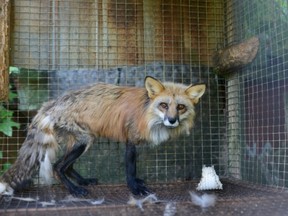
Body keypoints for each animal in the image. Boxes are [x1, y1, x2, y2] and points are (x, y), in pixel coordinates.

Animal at [0, 75, 205, 196]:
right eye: (163, 105)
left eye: (180, 107)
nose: (172, 120)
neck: (147, 113)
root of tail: (52, 103)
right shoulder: (130, 140)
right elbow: (130, 169)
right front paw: (134, 188)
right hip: (83, 141)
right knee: (58, 167)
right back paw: (75, 190)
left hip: (83, 141)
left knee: (67, 167)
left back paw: (83, 181)